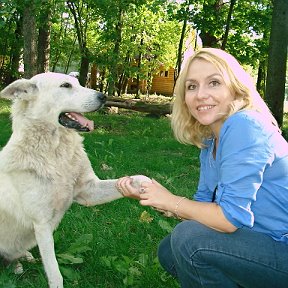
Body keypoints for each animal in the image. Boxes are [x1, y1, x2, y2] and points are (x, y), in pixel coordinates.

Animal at [0, 72, 150, 288]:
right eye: (66, 86)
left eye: (78, 83)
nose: (103, 96)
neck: (55, 153)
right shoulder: (42, 225)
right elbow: (55, 273)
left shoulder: (89, 191)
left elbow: (132, 179)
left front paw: (148, 186)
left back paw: (24, 258)